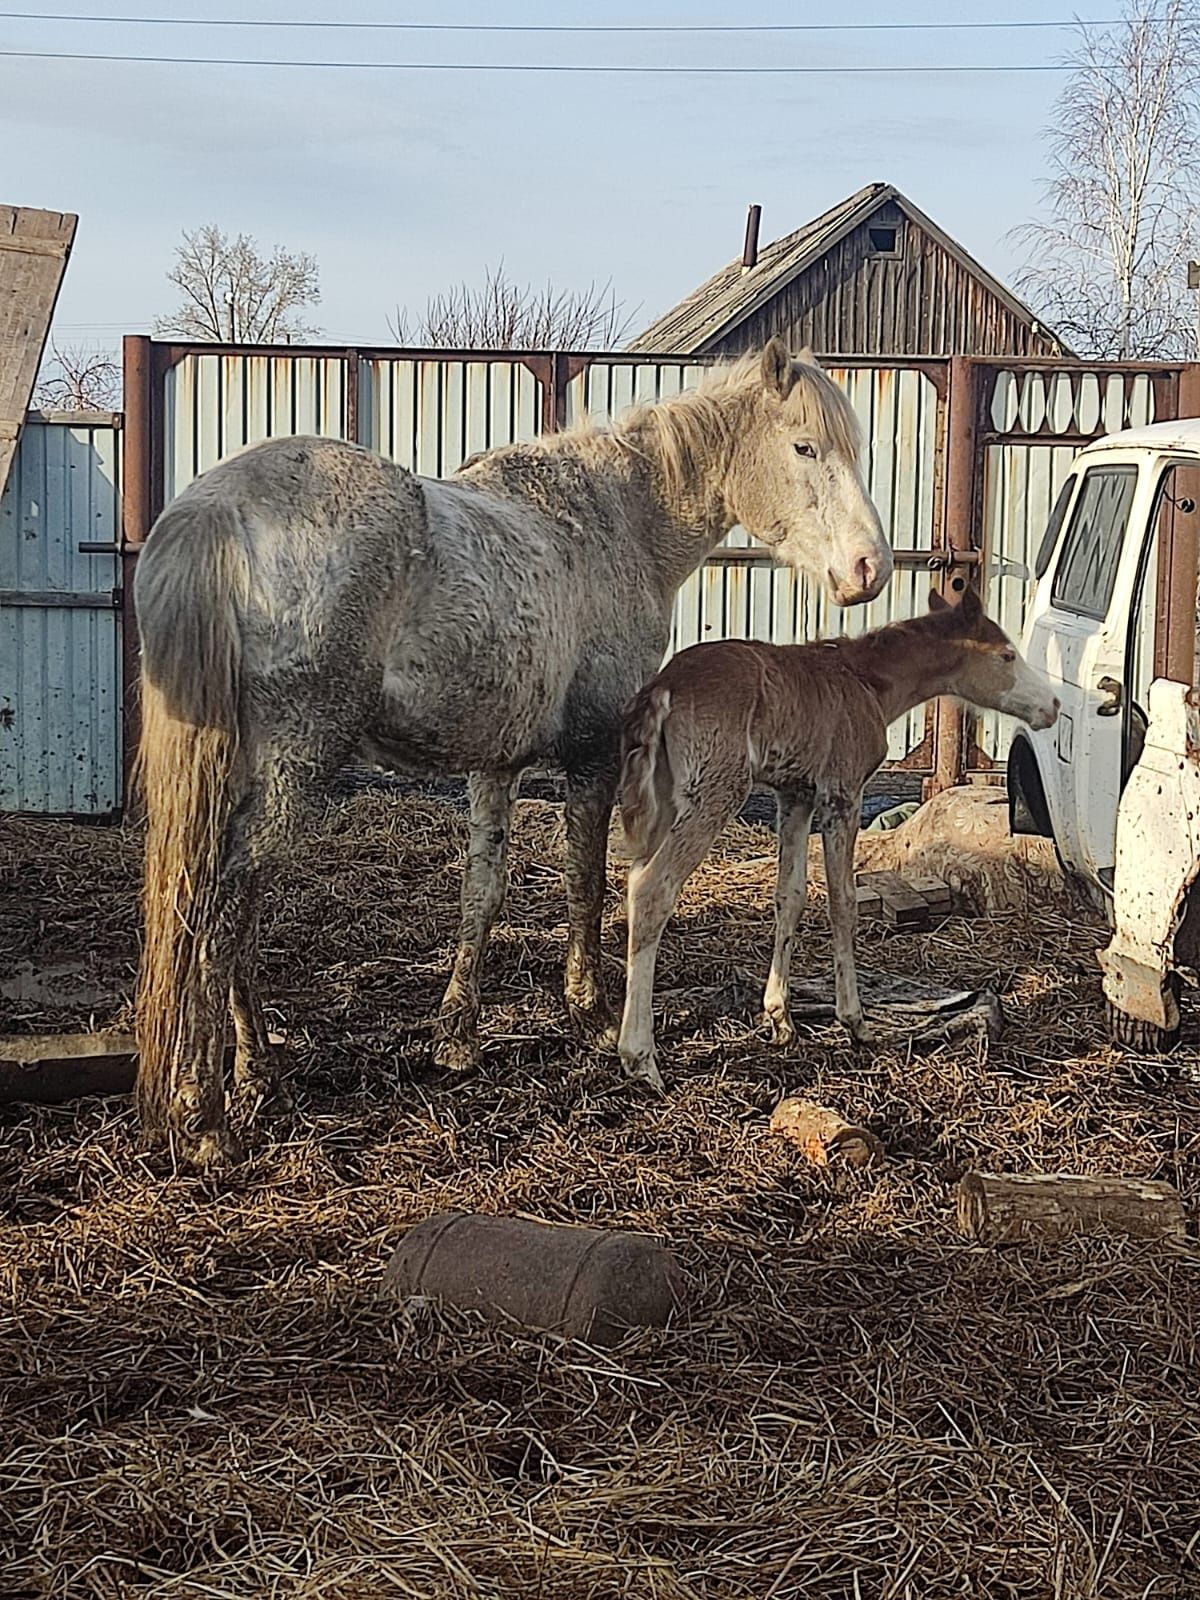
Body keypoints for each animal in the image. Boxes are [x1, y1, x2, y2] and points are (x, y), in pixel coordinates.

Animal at [620, 588, 1062, 1088]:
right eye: (1007, 655)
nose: (1052, 705)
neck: (866, 682)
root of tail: (664, 687)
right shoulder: (842, 795)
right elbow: (842, 900)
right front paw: (854, 1021)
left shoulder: (795, 796)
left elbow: (789, 896)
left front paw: (780, 1018)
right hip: (716, 792)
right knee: (654, 889)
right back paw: (640, 1057)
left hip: (664, 802)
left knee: (635, 883)